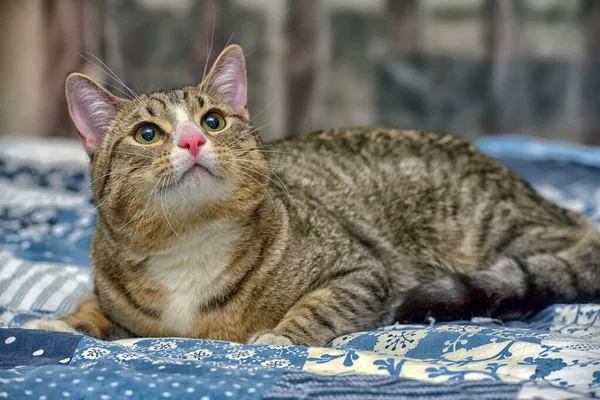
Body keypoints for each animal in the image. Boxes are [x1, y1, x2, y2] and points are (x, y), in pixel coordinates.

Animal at [23, 45, 600, 346]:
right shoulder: (114, 296)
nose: (191, 140)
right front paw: (60, 320)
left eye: (213, 121)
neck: (189, 247)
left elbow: (320, 308)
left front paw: (278, 337)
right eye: (147, 134)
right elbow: (93, 307)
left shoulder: (361, 272)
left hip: (495, 229)